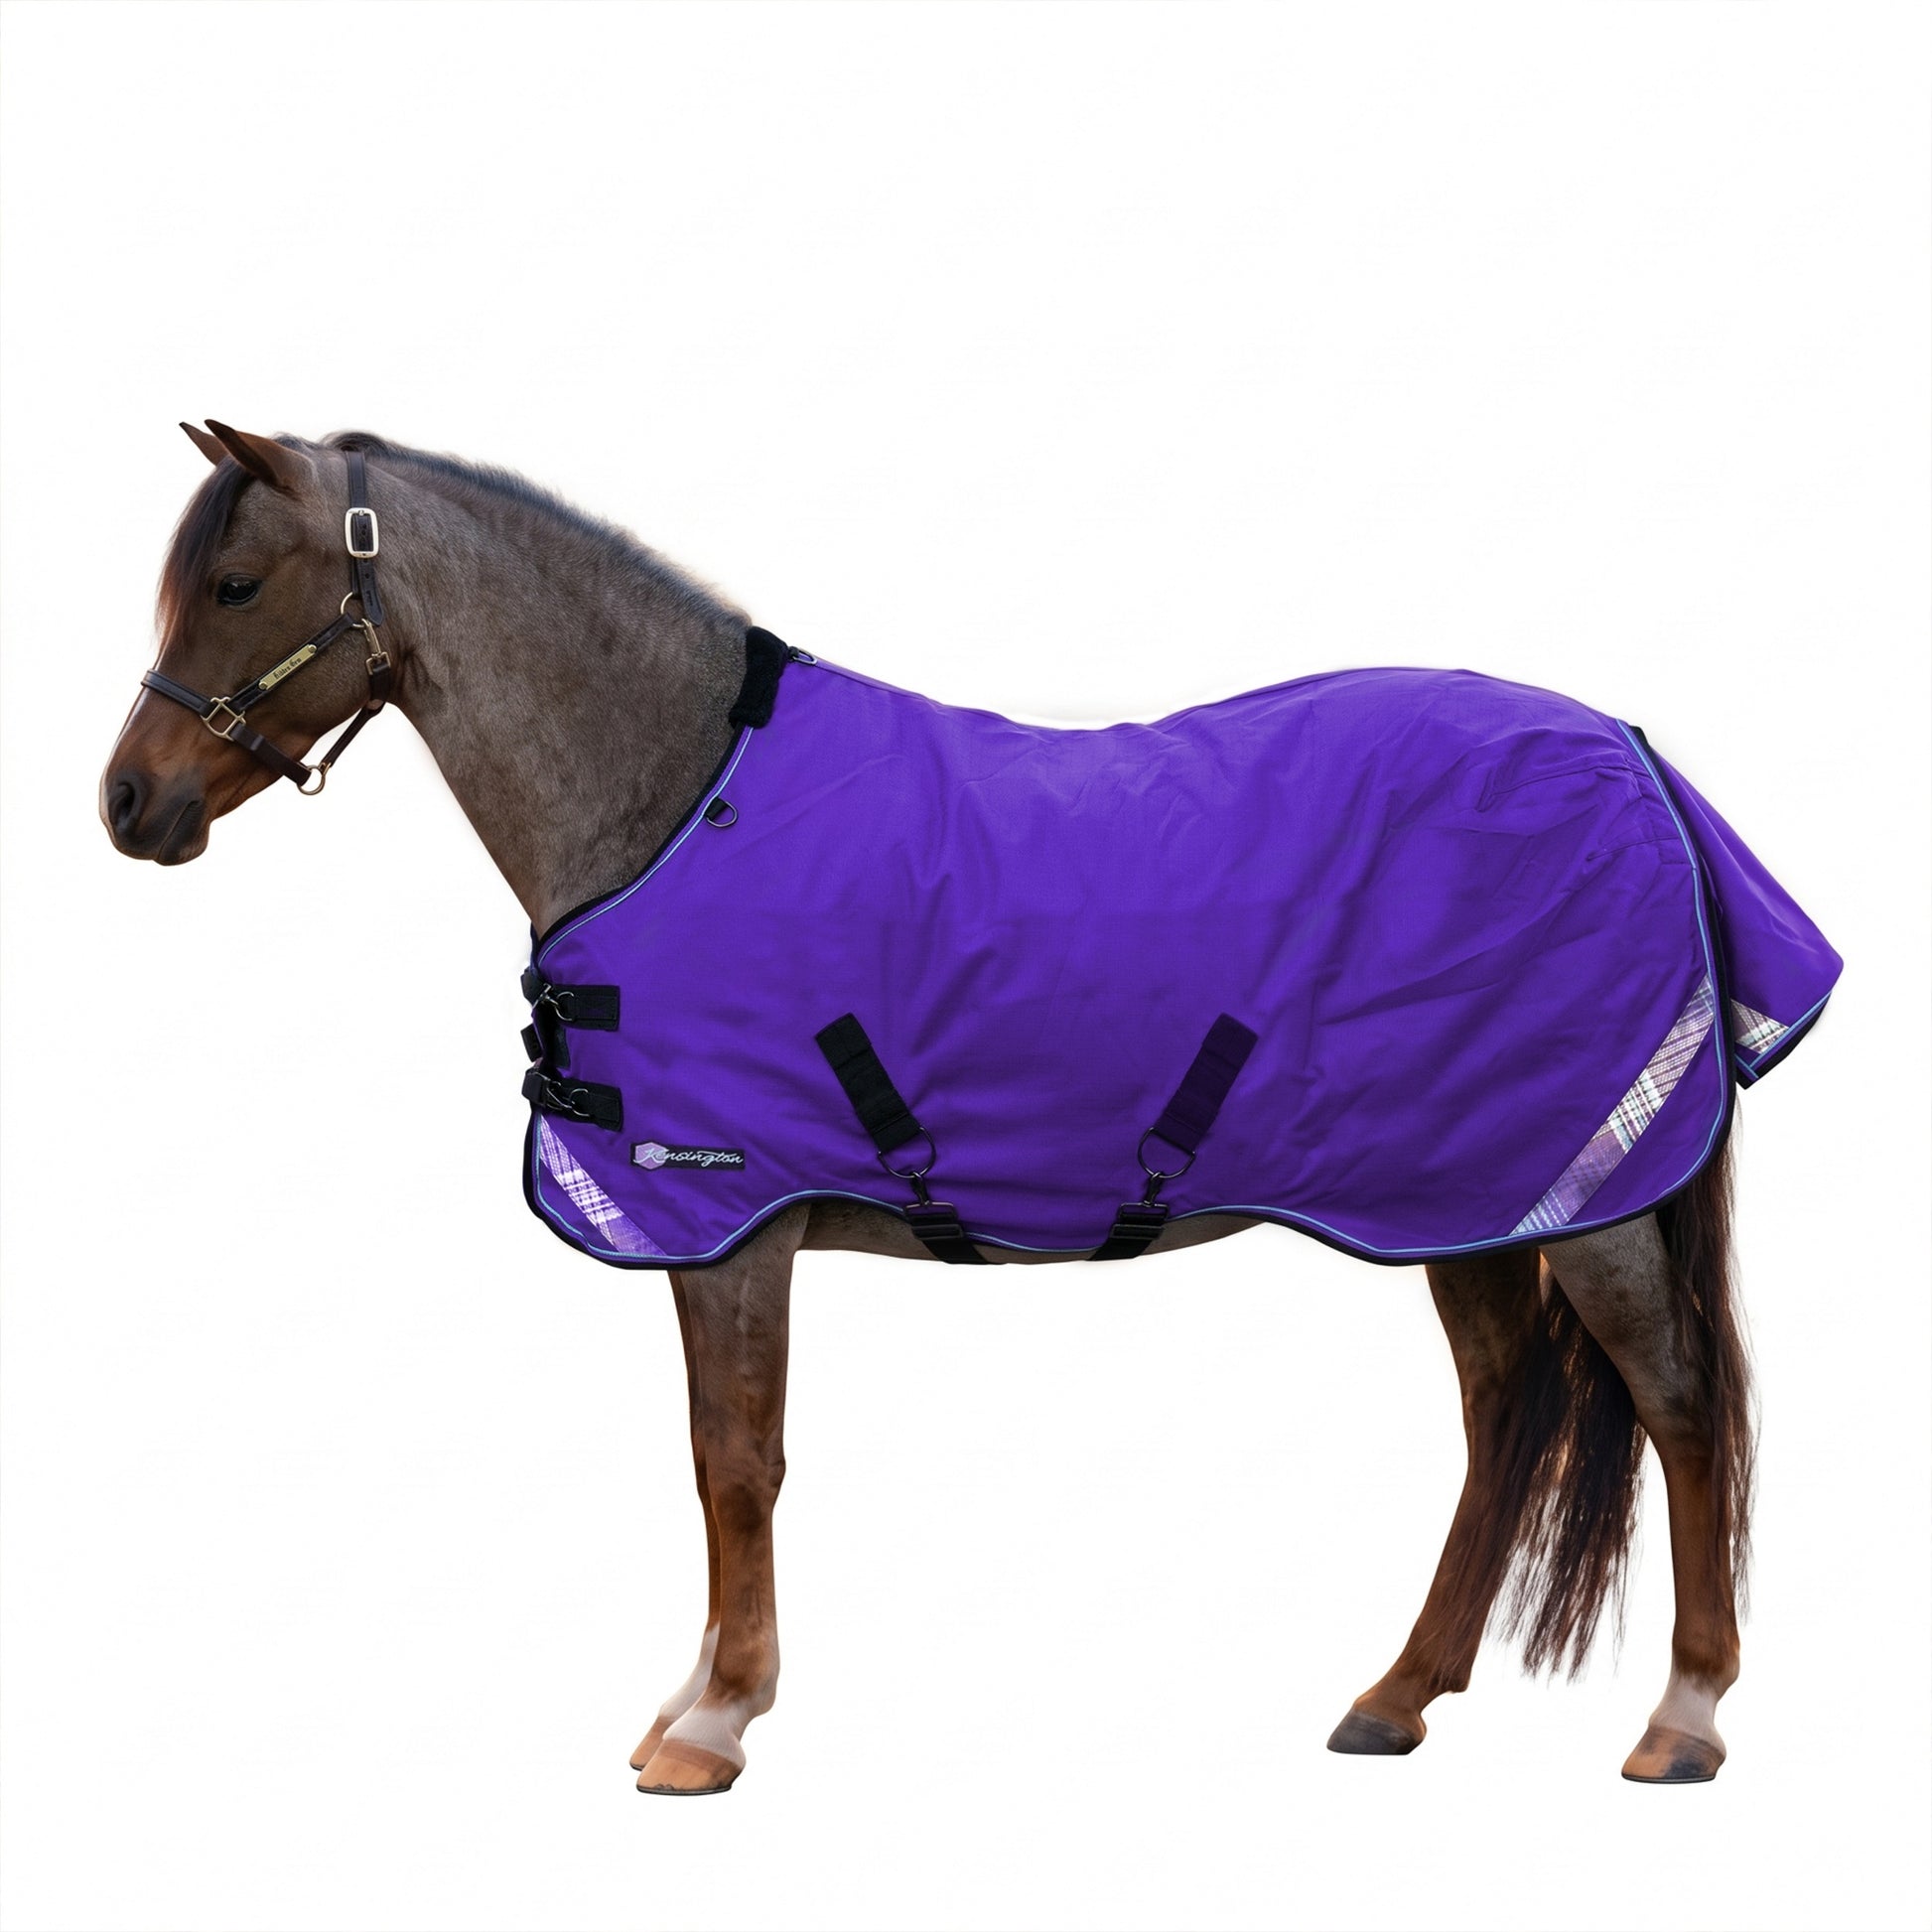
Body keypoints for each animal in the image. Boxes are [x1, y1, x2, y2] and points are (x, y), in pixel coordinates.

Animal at [100, 420, 1836, 1795]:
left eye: (236, 584)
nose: (130, 803)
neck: (670, 798)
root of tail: (1628, 753)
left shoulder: (729, 1212)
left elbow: (736, 1458)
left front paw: (714, 1722)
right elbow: (717, 1453)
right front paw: (698, 1694)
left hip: (1582, 1194)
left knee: (1677, 1403)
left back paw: (1683, 1715)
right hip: (1460, 1194)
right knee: (1503, 1412)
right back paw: (1396, 1695)